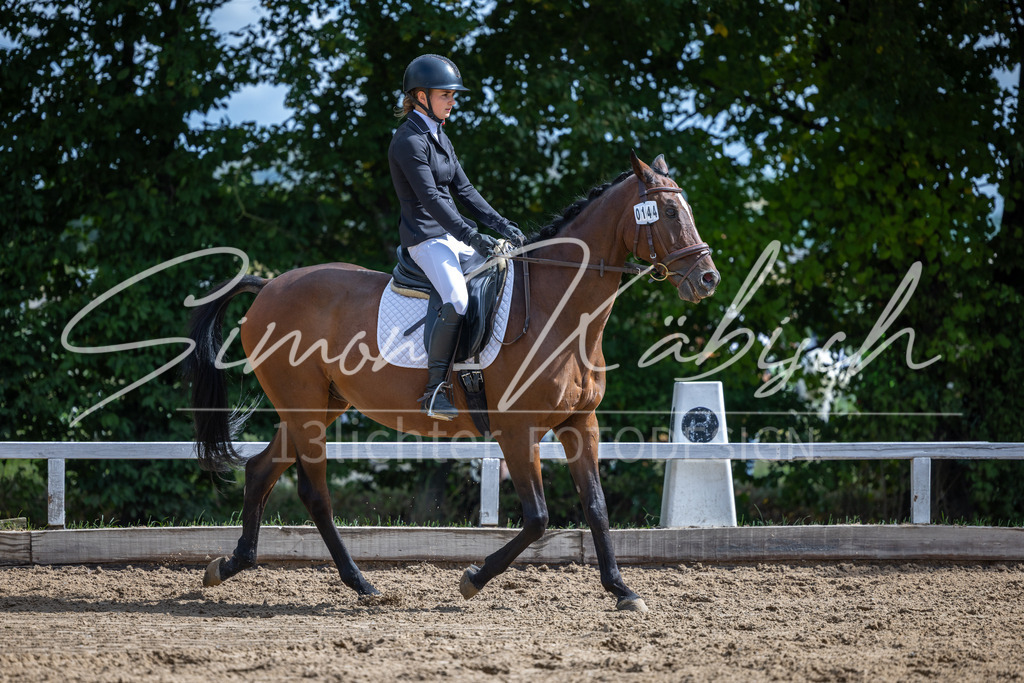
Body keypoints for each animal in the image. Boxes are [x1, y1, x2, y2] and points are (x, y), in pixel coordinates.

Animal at [184, 151, 719, 612]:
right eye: (668, 212)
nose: (707, 279)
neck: (560, 309)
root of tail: (268, 285)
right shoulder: (517, 431)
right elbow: (538, 517)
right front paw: (473, 578)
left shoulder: (579, 422)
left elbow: (596, 507)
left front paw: (623, 590)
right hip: (306, 410)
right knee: (314, 493)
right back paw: (360, 583)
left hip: (316, 407)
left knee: (261, 471)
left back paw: (230, 566)